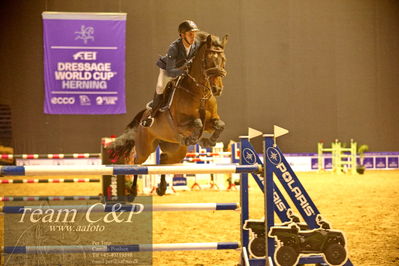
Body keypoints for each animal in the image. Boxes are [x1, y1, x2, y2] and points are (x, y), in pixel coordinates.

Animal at [108, 31, 228, 200]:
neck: (199, 93)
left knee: (164, 161)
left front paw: (207, 141)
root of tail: (142, 119)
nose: (217, 89)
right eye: (208, 60)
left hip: (176, 151)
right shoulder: (180, 123)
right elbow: (197, 123)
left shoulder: (211, 121)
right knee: (137, 162)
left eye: (223, 60)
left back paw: (162, 188)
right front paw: (195, 139)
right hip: (145, 148)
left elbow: (219, 125)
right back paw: (132, 191)